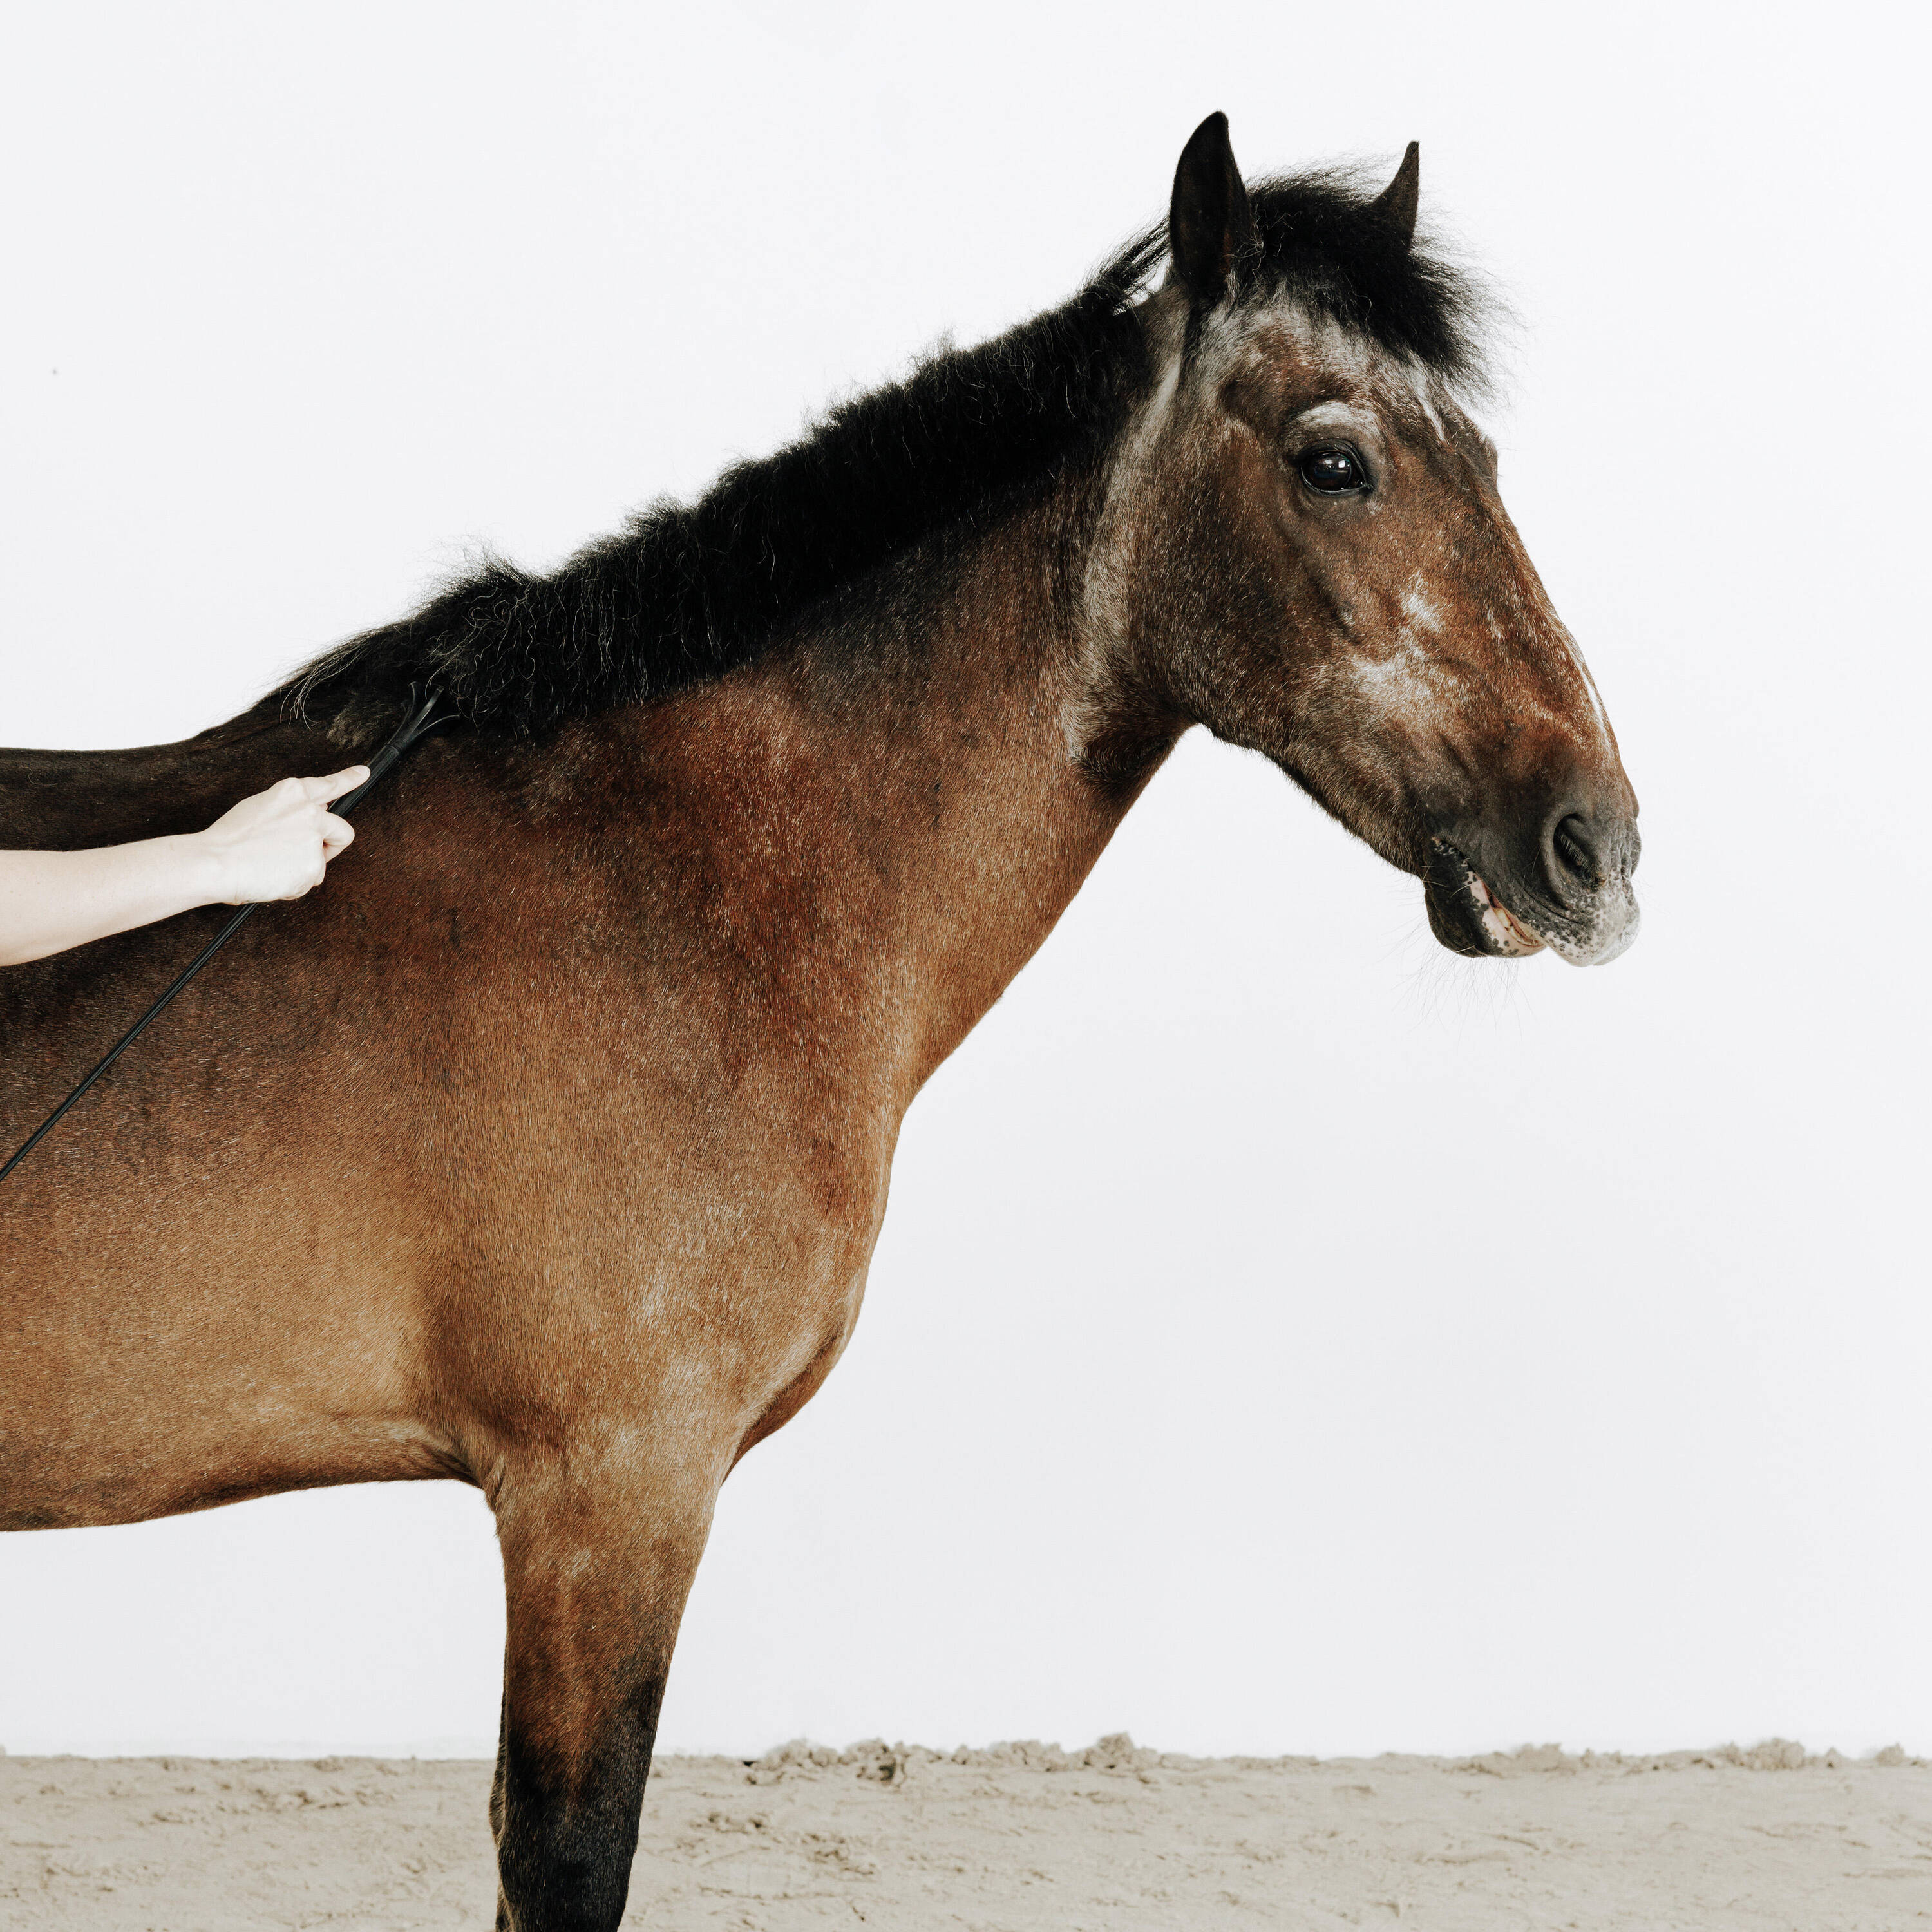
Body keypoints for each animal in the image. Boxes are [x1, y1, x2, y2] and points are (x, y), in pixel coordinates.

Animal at [0, 115, 1639, 1929]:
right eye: (1333, 459)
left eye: (1483, 453)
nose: (1590, 844)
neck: (684, 876)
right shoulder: (610, 1496)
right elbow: (568, 1857)